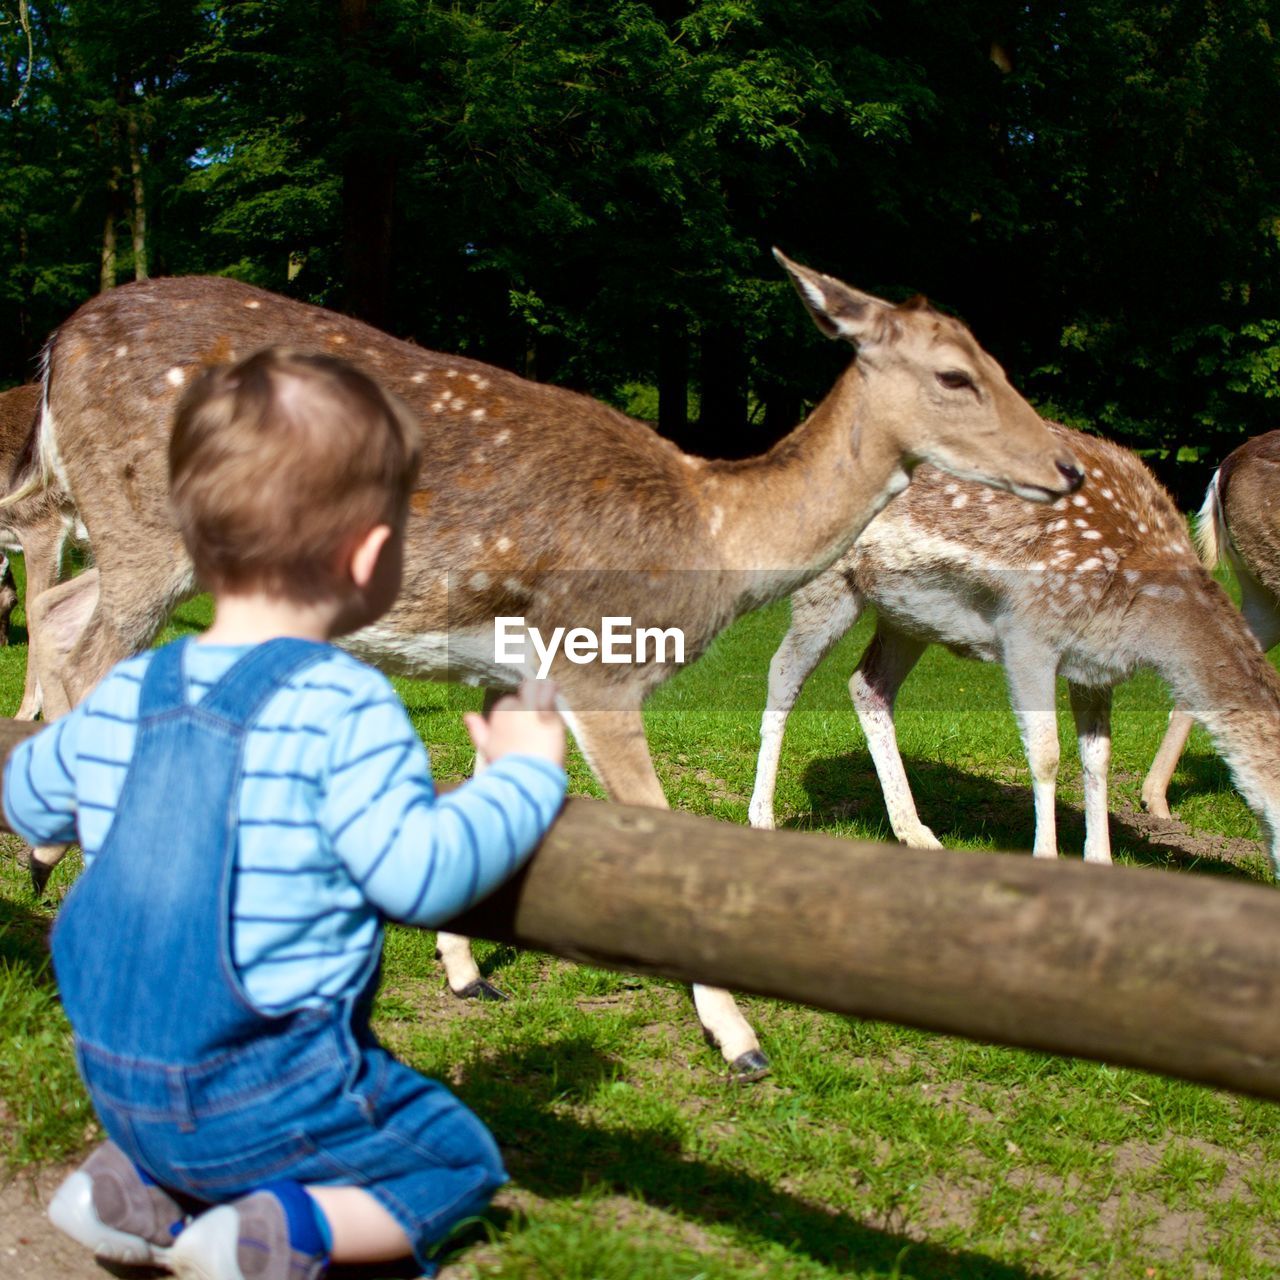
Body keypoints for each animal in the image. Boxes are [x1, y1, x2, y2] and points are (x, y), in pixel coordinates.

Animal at [20, 252, 1080, 1080]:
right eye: (955, 375)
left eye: (997, 359)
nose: (1068, 468)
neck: (714, 534)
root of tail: (55, 346)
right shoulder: (598, 665)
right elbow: (655, 827)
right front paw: (739, 1038)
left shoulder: (512, 669)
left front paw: (465, 970)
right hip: (145, 530)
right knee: (91, 648)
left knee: (64, 615)